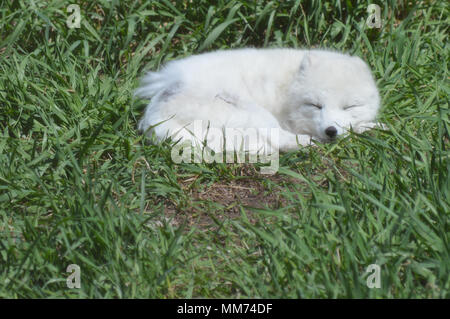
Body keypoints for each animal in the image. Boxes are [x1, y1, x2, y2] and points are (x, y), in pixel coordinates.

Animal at [136, 48, 380, 154]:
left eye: (349, 106)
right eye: (315, 106)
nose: (331, 131)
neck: (289, 84)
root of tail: (153, 117)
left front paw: (372, 126)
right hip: (254, 113)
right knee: (280, 140)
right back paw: (305, 144)